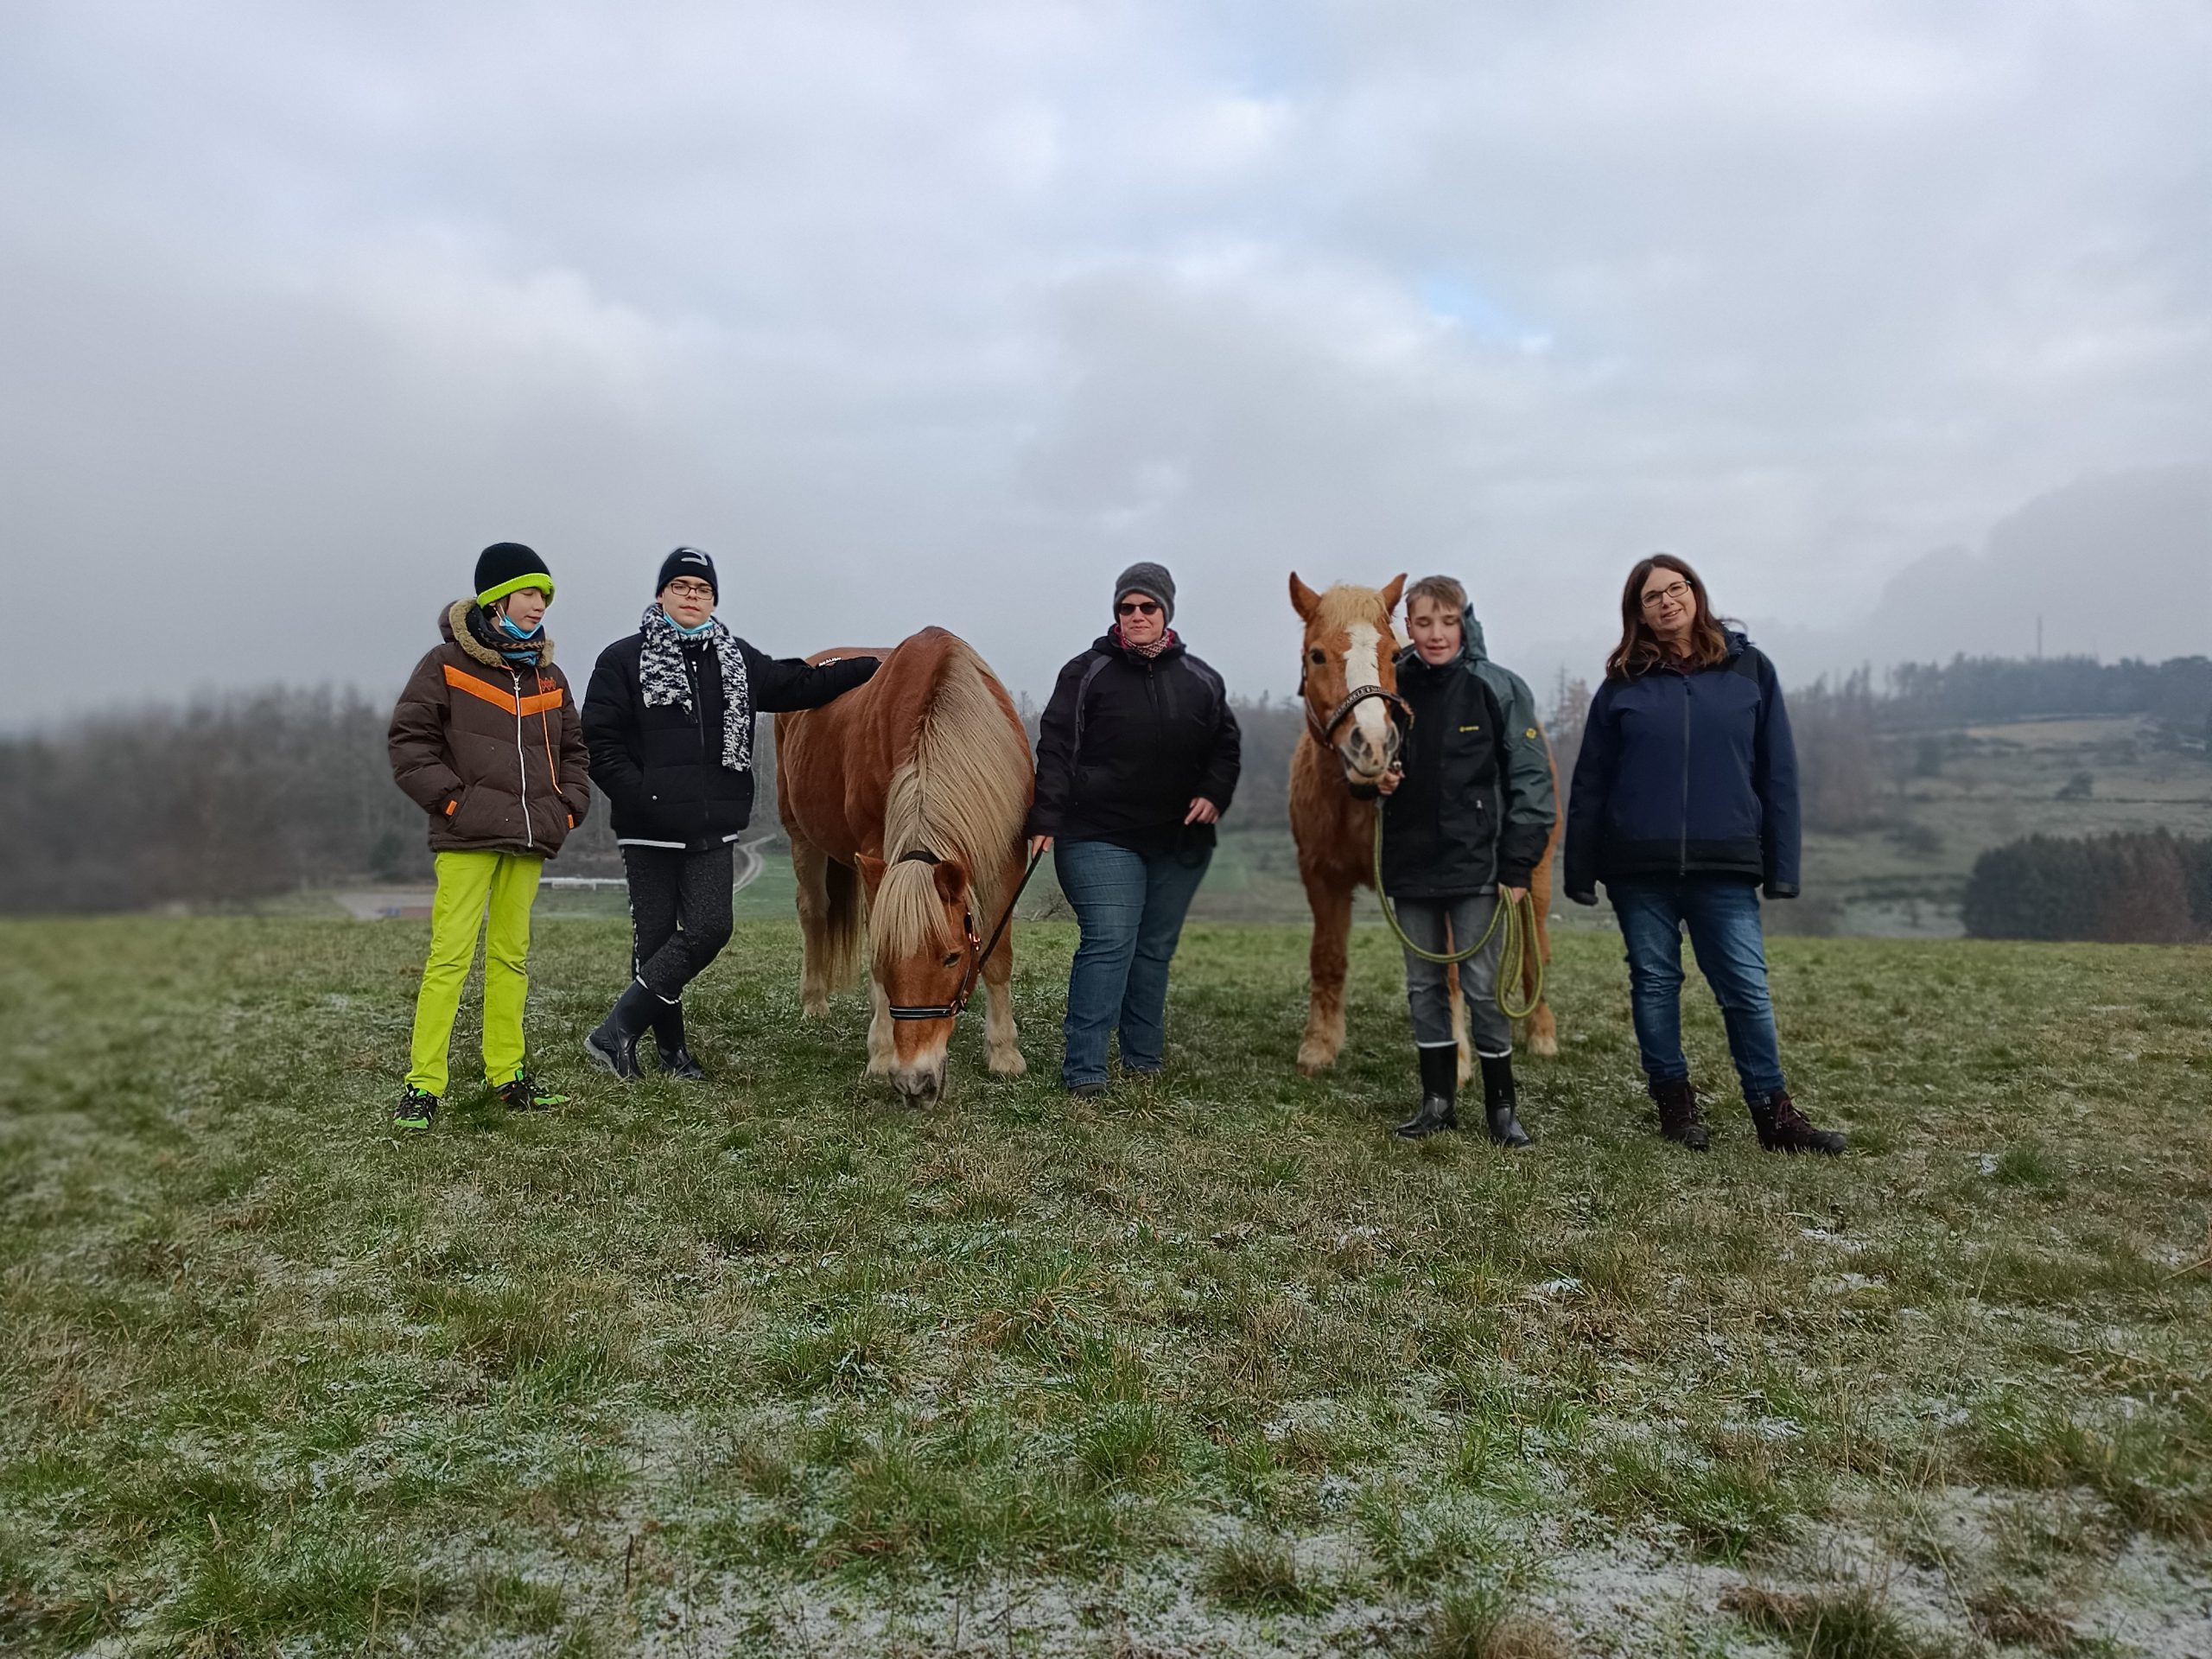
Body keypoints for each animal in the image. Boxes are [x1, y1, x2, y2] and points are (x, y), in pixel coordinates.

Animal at [774, 623, 1030, 1106]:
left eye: (952, 957)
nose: (916, 1083)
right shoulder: (877, 847)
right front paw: (880, 1052)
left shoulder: (1008, 855)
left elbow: (998, 956)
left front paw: (1005, 1053)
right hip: (801, 836)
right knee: (813, 911)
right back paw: (814, 1001)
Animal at [1282, 579, 1557, 1084]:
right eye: (1316, 655)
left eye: (1393, 655)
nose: (1372, 745)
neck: (1362, 801)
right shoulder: (1322, 879)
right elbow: (1327, 959)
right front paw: (1319, 1046)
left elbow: (1449, 971)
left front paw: (1460, 1060)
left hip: (1536, 878)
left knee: (1535, 949)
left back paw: (1541, 1032)